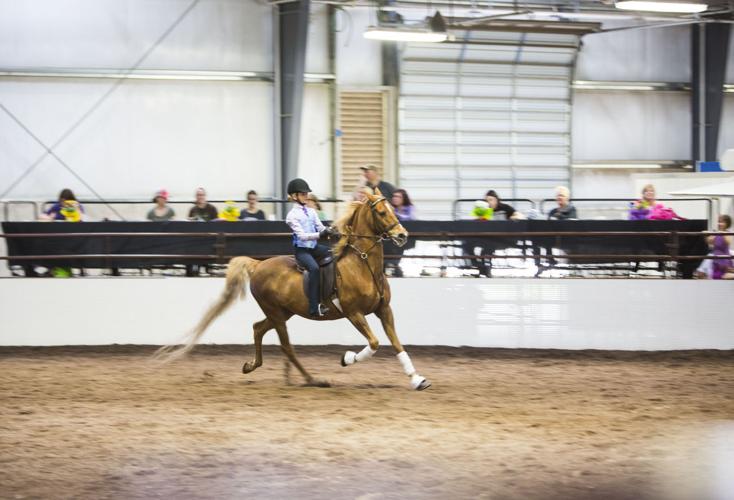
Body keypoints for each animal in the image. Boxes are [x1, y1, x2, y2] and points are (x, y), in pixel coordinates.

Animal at [156, 188, 432, 390]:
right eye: (382, 212)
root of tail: (258, 265)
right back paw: (312, 380)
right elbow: (374, 344)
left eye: (394, 209)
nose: (402, 235)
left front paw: (418, 379)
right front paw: (347, 359)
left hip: (283, 312)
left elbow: (397, 344)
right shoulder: (354, 313)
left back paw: (251, 366)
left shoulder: (384, 310)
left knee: (258, 328)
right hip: (277, 314)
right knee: (285, 346)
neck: (362, 265)